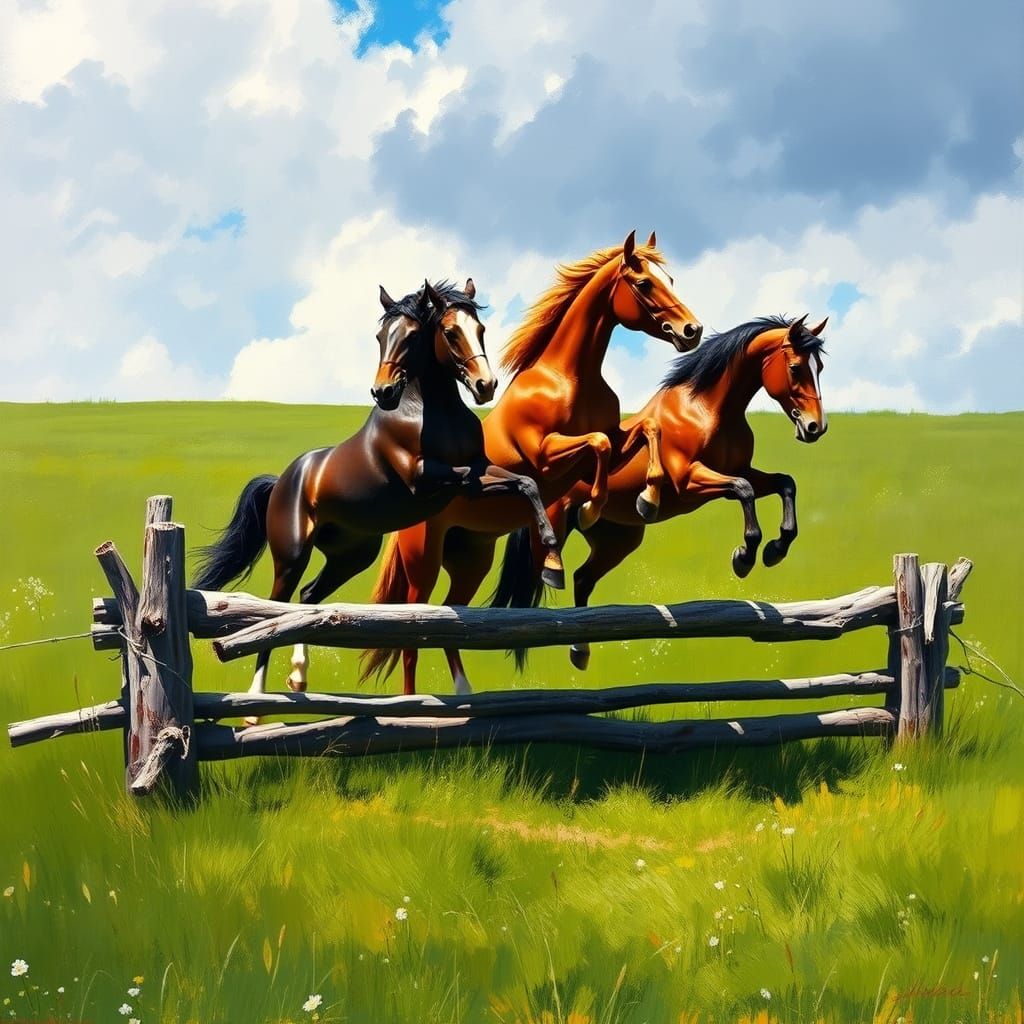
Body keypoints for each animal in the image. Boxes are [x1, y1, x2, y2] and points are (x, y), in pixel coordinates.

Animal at [192, 280, 562, 718]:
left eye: (479, 329)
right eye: (382, 336)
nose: (484, 386)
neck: (431, 411)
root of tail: (282, 480)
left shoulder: (479, 470)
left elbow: (526, 483)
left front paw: (552, 560)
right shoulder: (426, 481)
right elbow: (487, 481)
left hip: (351, 555)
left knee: (307, 597)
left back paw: (298, 676)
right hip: (292, 554)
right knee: (276, 608)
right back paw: (254, 705)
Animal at [360, 230, 703, 695]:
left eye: (669, 278)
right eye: (644, 283)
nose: (692, 330)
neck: (570, 380)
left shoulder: (615, 440)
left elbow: (643, 432)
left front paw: (646, 499)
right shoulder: (545, 455)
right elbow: (596, 446)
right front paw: (585, 519)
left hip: (472, 558)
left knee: (452, 615)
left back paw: (464, 693)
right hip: (423, 562)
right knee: (413, 634)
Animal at [493, 313, 829, 671]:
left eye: (819, 367)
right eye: (796, 367)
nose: (815, 428)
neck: (707, 409)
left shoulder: (739, 472)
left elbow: (784, 483)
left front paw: (775, 549)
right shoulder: (690, 481)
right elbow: (745, 490)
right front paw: (744, 557)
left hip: (619, 540)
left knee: (583, 578)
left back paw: (580, 651)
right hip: (556, 528)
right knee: (543, 577)